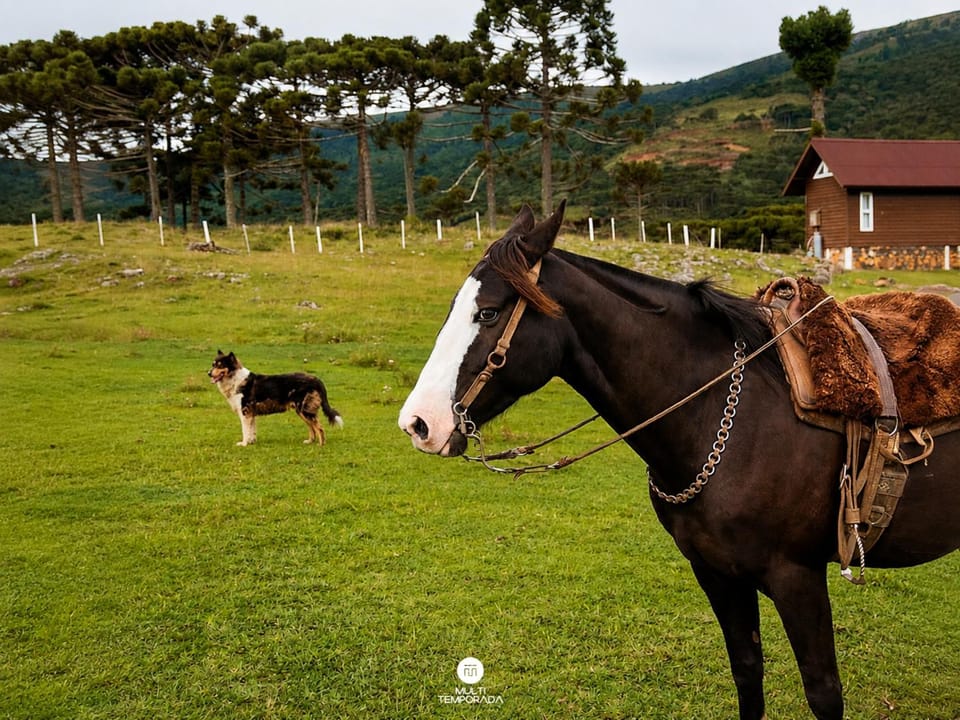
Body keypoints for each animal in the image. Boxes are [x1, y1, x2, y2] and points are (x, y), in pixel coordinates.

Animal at [397, 202, 959, 720]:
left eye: (489, 312)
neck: (727, 416)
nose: (418, 423)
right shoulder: (716, 572)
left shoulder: (797, 577)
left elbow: (824, 693)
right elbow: (747, 674)